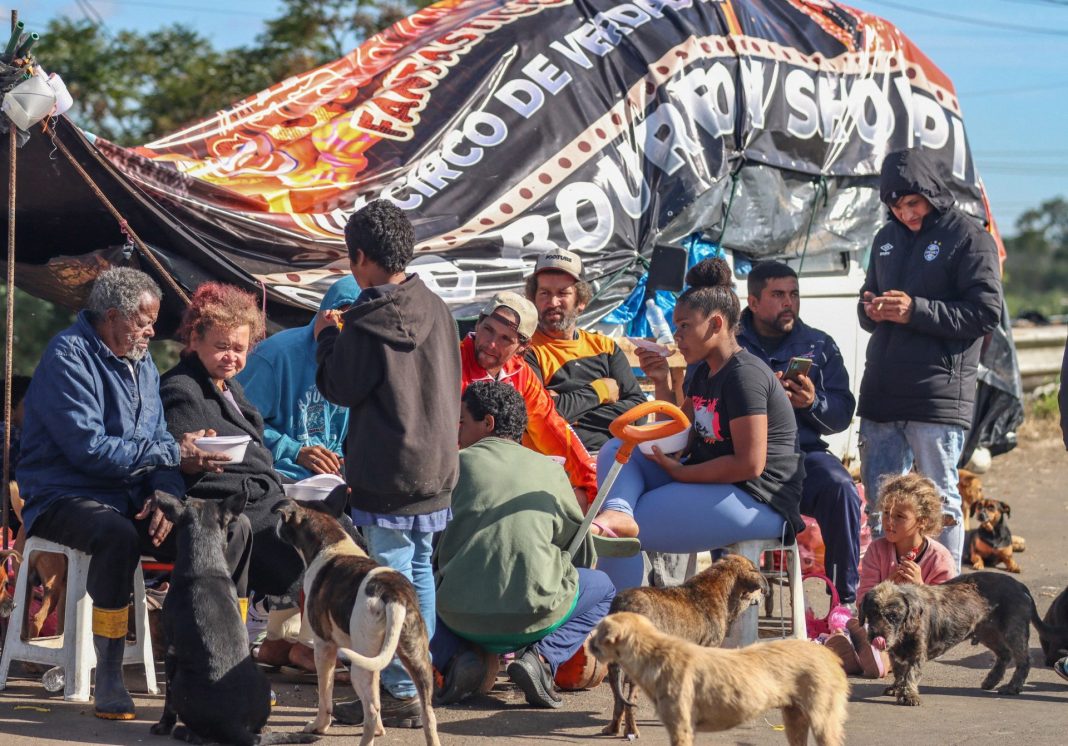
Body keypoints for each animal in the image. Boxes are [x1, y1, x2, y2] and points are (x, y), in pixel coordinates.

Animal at [150, 493, 318, 742]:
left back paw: (184, 732)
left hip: (181, 680)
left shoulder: (171, 649)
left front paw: (163, 725)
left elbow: (168, 702)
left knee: (200, 735)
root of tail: (234, 725)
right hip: (262, 680)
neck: (205, 566)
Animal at [277, 495, 444, 746]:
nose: (276, 525)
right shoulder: (375, 663)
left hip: (359, 665)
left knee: (372, 711)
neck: (331, 544)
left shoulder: (324, 647)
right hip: (415, 660)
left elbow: (325, 695)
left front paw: (318, 726)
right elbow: (376, 694)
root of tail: (393, 595)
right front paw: (381, 731)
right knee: (427, 714)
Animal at [589, 614, 845, 746]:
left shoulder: (681, 728)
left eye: (599, 631)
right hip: (794, 719)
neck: (654, 653)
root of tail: (830, 655)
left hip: (823, 722)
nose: (587, 643)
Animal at [602, 554, 768, 742]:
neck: (720, 589)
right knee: (629, 701)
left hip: (613, 667)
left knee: (618, 700)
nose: (765, 593)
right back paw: (631, 730)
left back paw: (614, 728)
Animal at [854, 572, 1068, 704]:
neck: (905, 629)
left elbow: (911, 674)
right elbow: (899, 672)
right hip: (987, 632)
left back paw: (1012, 687)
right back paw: (991, 680)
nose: (876, 636)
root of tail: (1020, 585)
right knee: (1004, 655)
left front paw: (909, 696)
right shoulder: (896, 655)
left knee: (1023, 660)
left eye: (893, 616)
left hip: (1012, 631)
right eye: (872, 613)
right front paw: (896, 688)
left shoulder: (917, 654)